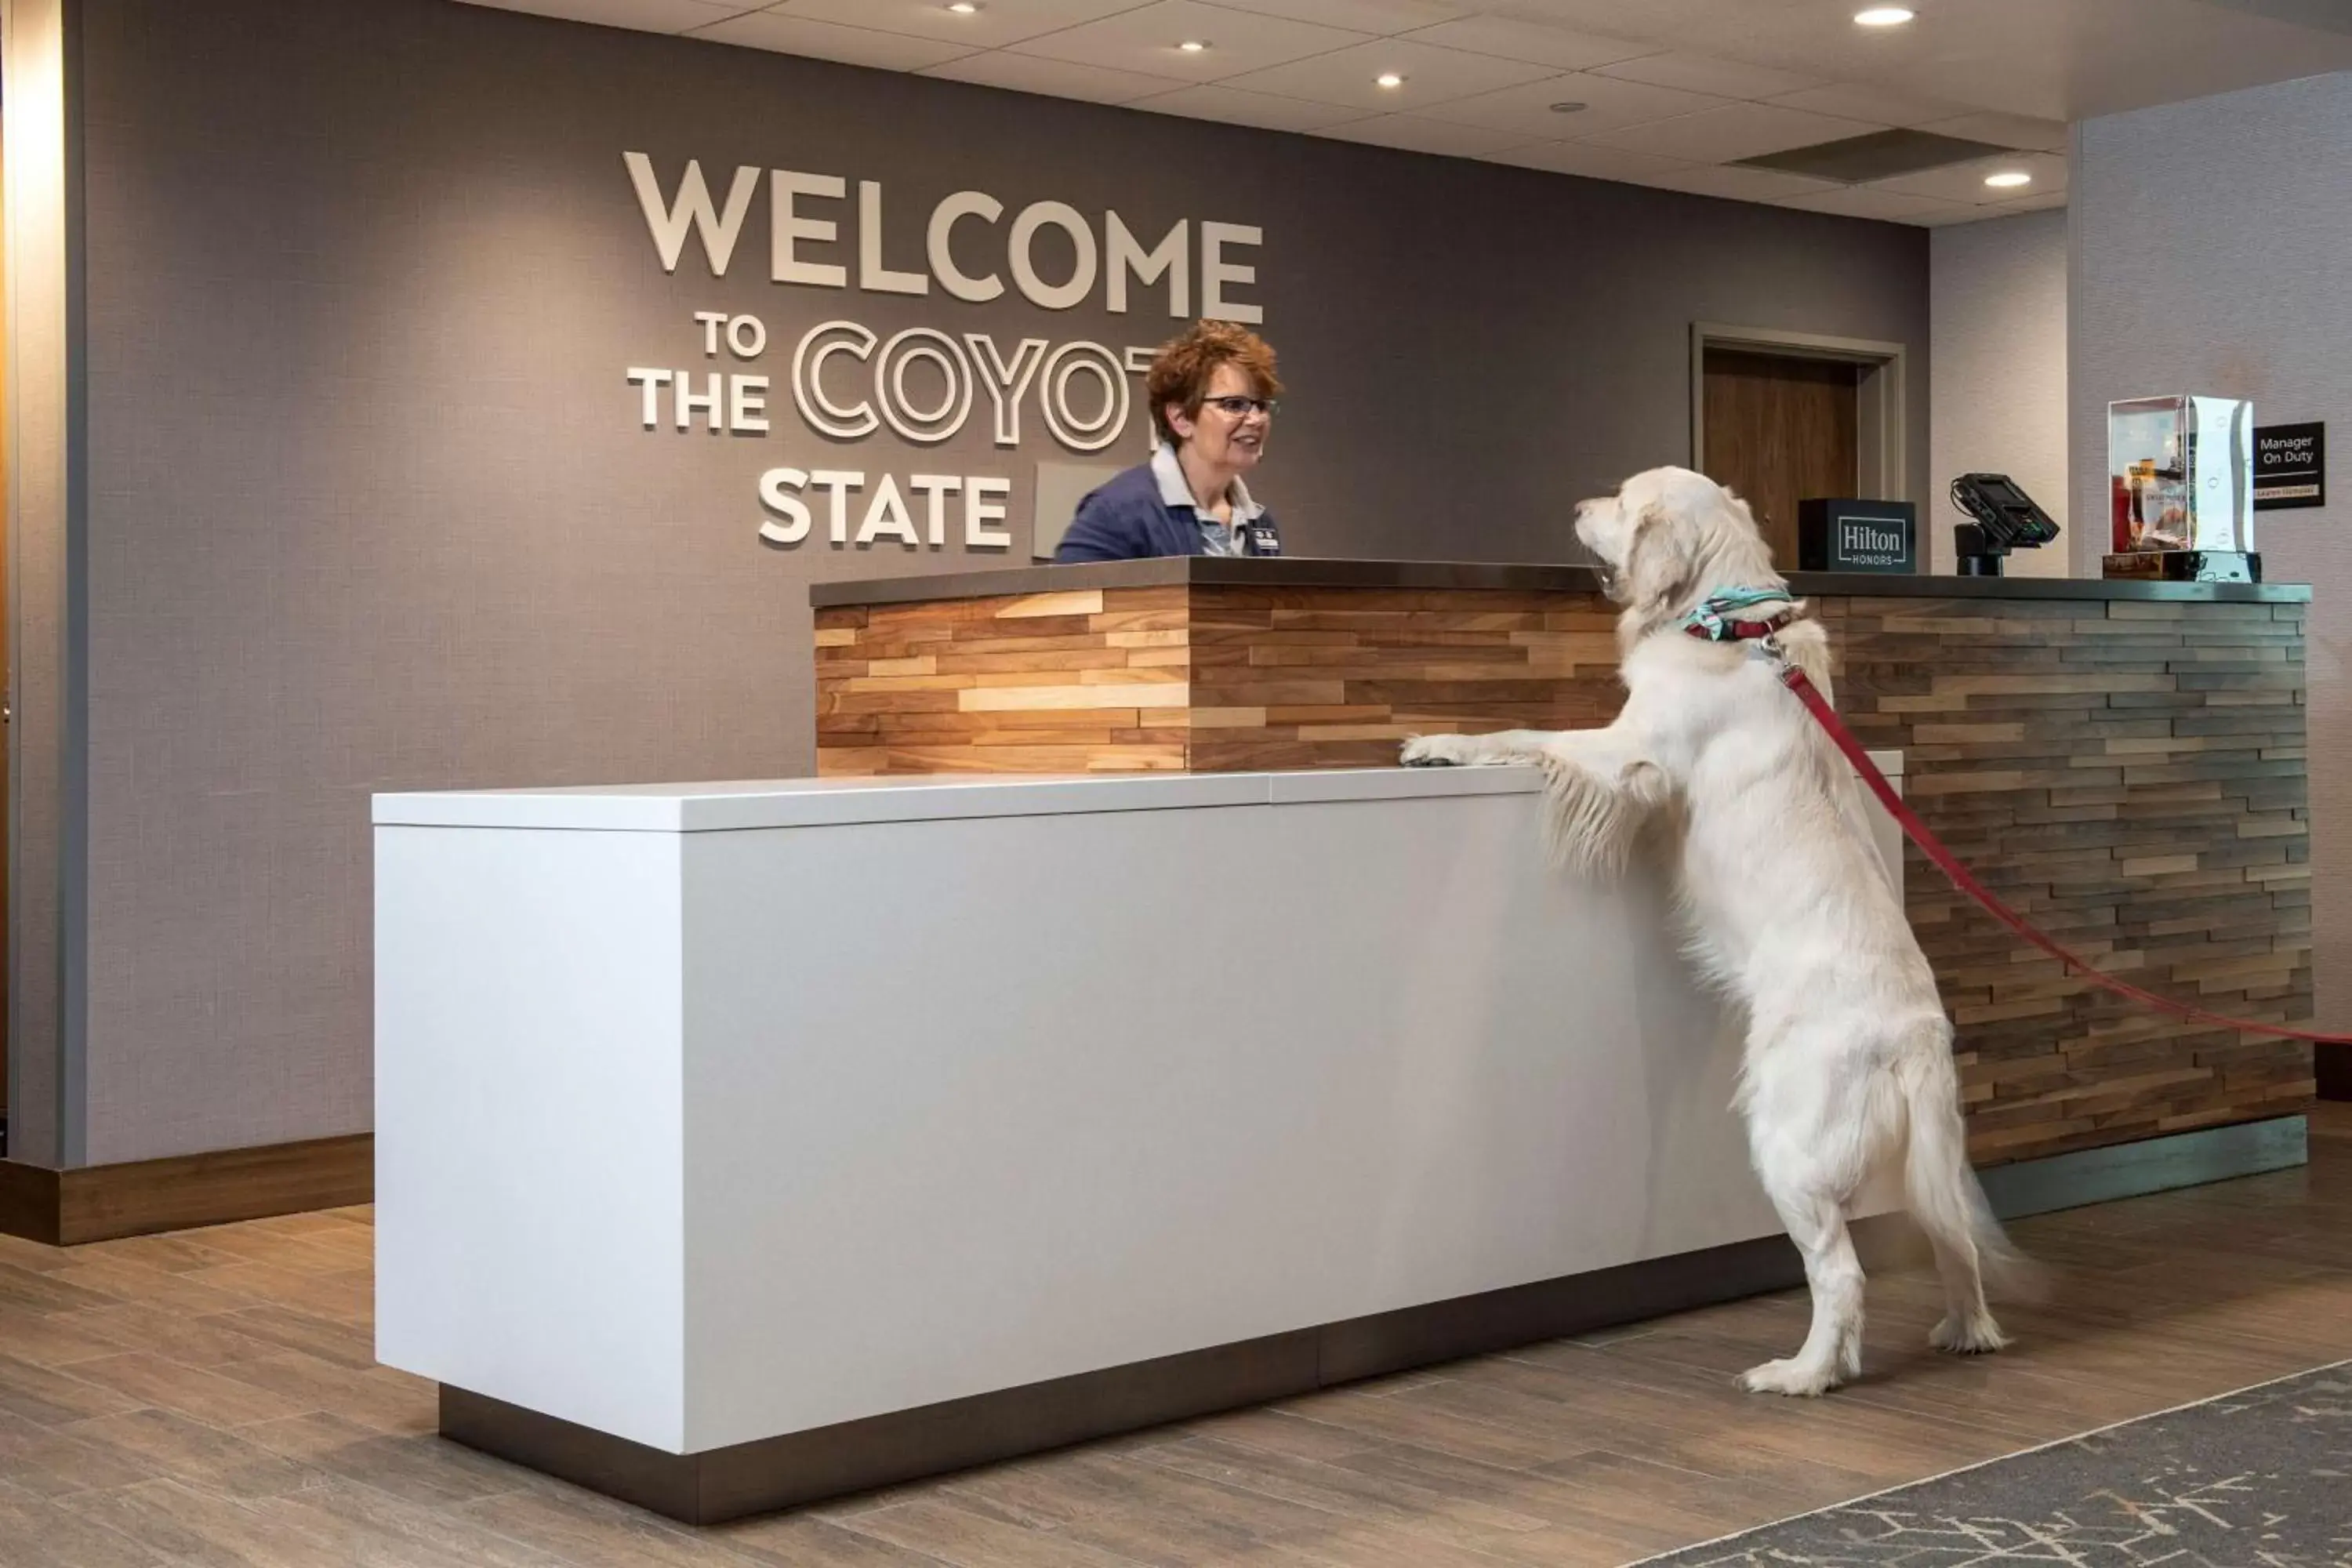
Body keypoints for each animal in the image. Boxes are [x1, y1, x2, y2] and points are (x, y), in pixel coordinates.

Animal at [1392, 465, 2023, 1401]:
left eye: (1622, 500)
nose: (1576, 506)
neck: (1735, 624)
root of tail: (1913, 1035)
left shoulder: (1630, 750)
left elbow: (1526, 734)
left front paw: (1438, 742)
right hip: (1924, 1164)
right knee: (1953, 1242)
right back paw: (1965, 1330)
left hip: (1786, 1142)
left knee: (1841, 1273)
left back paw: (1803, 1372)